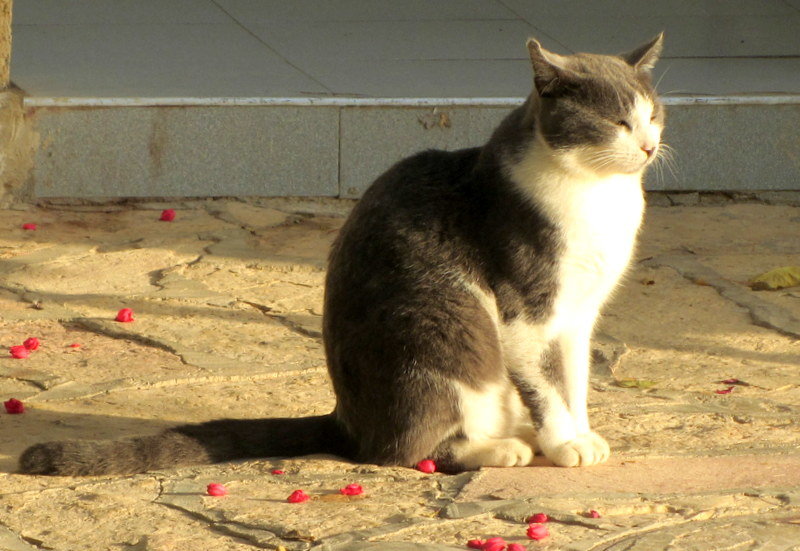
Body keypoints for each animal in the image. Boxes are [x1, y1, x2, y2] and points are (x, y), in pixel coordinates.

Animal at [21, 34, 664, 476]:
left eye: (654, 115)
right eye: (615, 122)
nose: (650, 145)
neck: (598, 197)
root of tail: (347, 423)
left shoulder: (578, 316)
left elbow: (573, 379)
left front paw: (581, 433)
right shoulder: (527, 310)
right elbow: (547, 384)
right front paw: (563, 442)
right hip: (443, 337)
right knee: (405, 451)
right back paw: (505, 447)